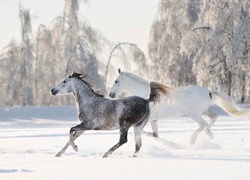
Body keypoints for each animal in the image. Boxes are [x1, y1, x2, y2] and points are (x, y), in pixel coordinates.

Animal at [109, 69, 250, 144]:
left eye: (116, 81)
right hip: (203, 111)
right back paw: (209, 135)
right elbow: (155, 134)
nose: (111, 95)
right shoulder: (154, 119)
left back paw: (192, 140)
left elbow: (144, 132)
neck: (147, 96)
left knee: (203, 124)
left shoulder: (148, 119)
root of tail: (209, 91)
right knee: (213, 118)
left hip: (194, 113)